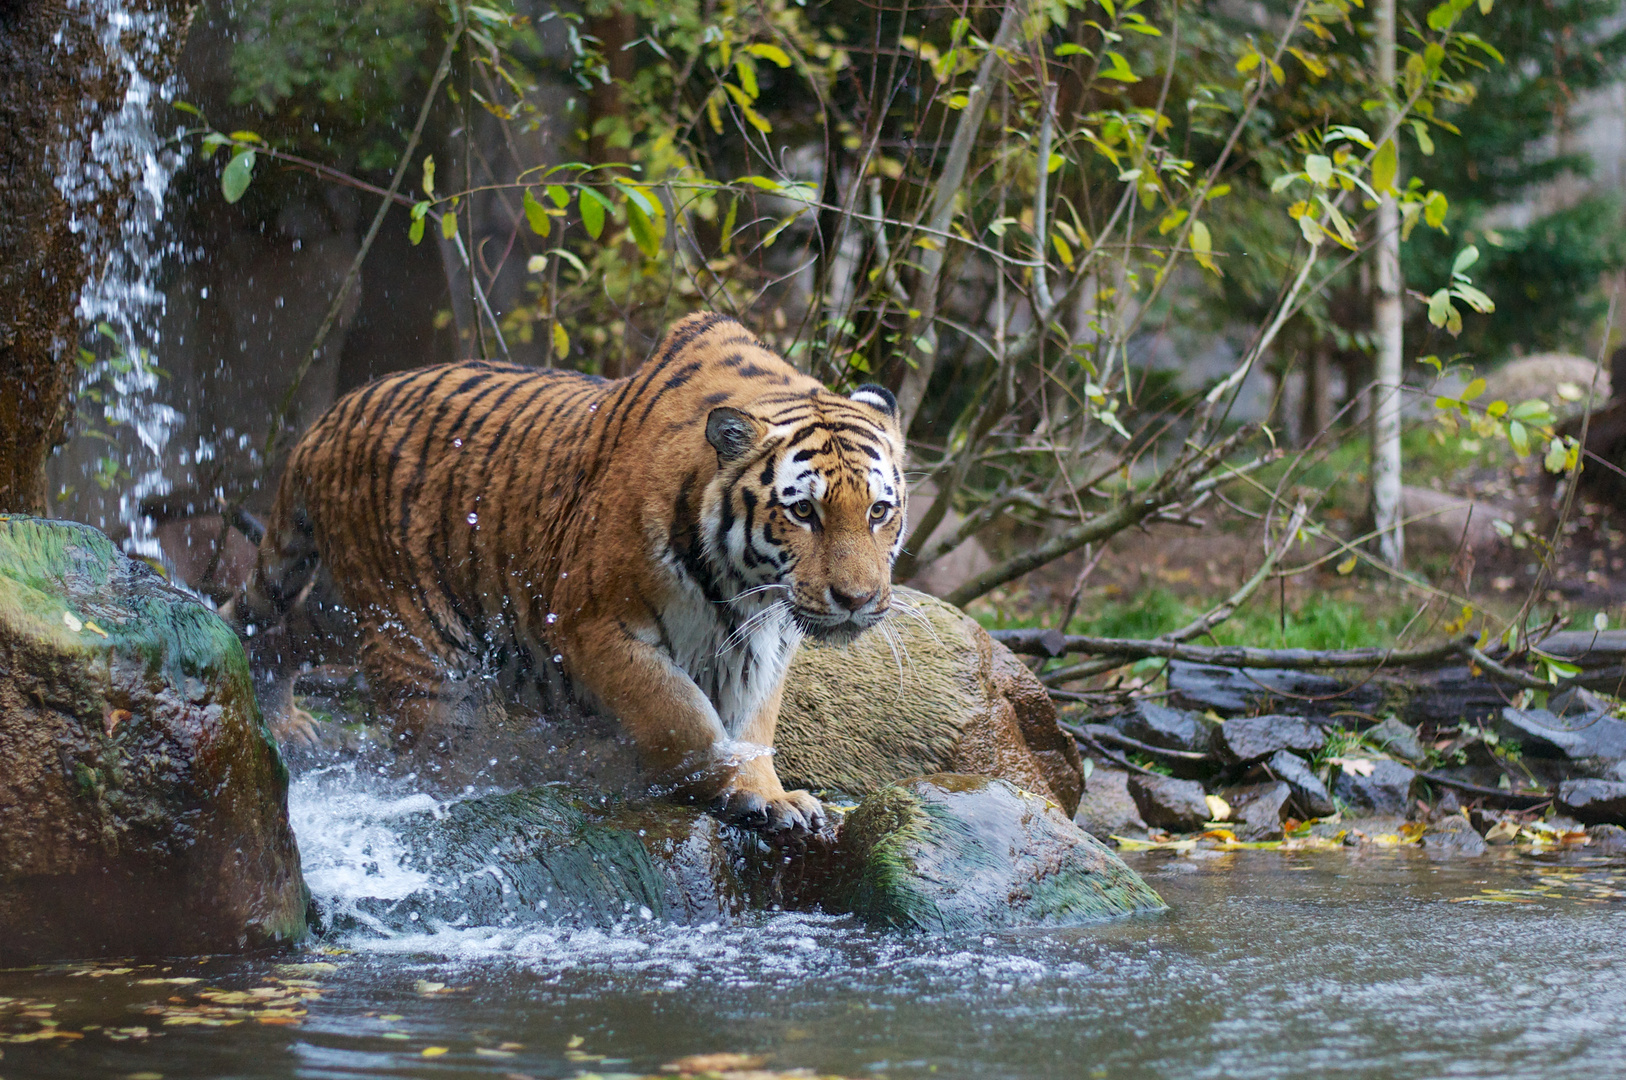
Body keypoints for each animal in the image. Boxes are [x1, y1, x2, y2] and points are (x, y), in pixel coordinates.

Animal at [235, 312, 910, 832]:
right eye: (804, 511)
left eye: (878, 511)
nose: (857, 599)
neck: (741, 591)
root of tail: (330, 419)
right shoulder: (591, 627)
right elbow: (682, 715)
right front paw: (707, 778)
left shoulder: (763, 643)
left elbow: (753, 724)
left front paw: (768, 795)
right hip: (417, 635)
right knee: (431, 747)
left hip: (358, 610)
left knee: (282, 629)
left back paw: (281, 719)